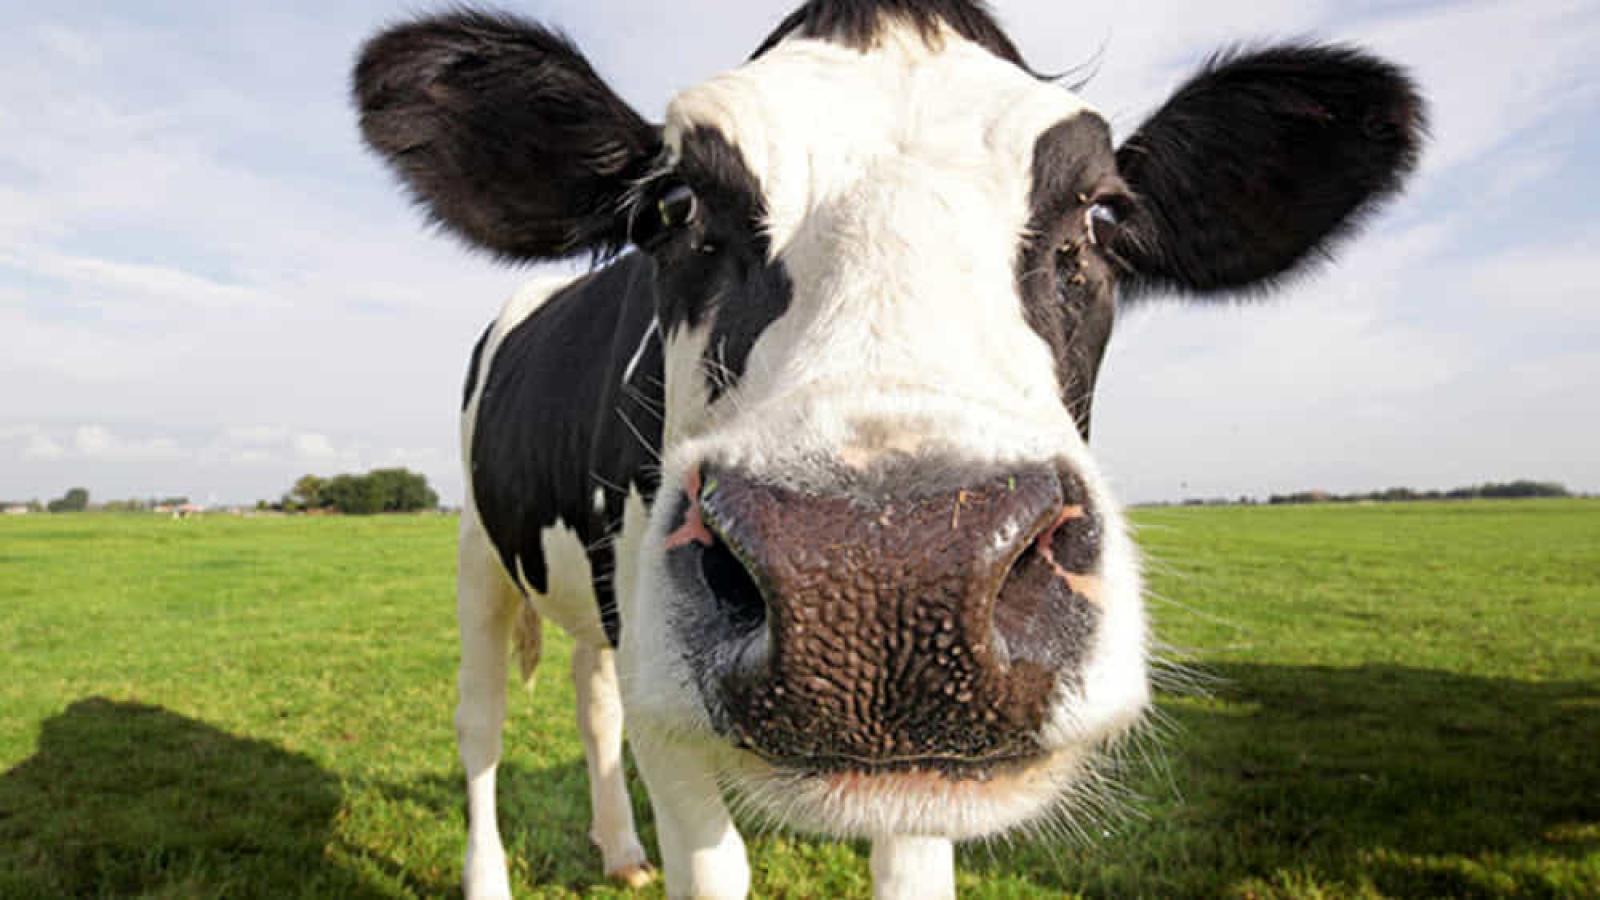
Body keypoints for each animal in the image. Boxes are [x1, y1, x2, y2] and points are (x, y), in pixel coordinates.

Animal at [353, 2, 1423, 897]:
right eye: (674, 208)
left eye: (1103, 214)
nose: (883, 577)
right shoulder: (671, 706)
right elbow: (714, 864)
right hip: (478, 554)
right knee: (481, 728)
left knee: (593, 698)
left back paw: (619, 850)